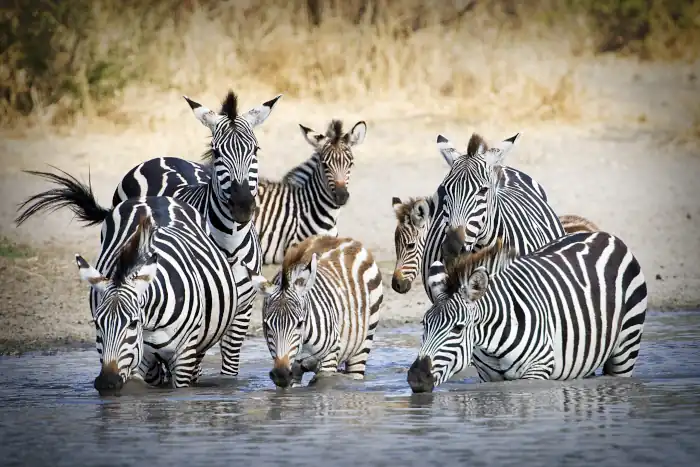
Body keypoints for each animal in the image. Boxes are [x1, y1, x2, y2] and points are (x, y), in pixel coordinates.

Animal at [15, 169, 248, 393]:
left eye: (133, 323)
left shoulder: (183, 355)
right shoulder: (141, 360)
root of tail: (152, 197)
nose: (107, 382)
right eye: (97, 323)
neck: (153, 321)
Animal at [110, 90, 282, 377]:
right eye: (217, 152)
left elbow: (229, 371)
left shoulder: (241, 310)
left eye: (255, 150)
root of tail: (159, 159)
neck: (230, 244)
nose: (243, 205)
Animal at [249, 235, 383, 388]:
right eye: (266, 325)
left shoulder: (328, 361)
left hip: (364, 342)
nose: (281, 375)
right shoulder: (290, 367)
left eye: (300, 323)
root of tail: (343, 239)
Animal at [407, 231, 648, 393]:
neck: (493, 340)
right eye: (424, 325)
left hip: (626, 345)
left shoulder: (537, 371)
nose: (416, 378)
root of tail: (606, 236)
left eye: (458, 328)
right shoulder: (489, 378)